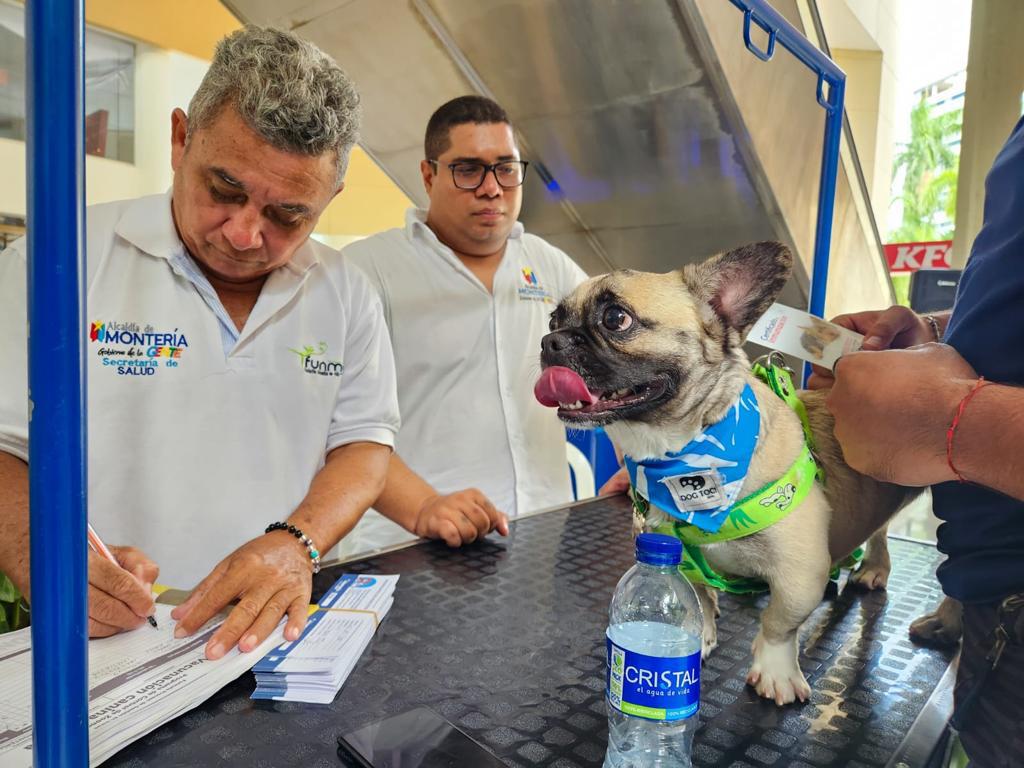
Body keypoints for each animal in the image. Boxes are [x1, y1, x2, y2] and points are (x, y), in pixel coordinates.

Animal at [536, 243, 921, 708]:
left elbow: (780, 622)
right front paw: (696, 634)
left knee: (882, 532)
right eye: (553, 320)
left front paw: (775, 670)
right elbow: (696, 597)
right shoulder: (679, 556)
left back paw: (875, 570)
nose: (550, 341)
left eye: (615, 318)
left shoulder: (799, 574)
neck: (687, 458)